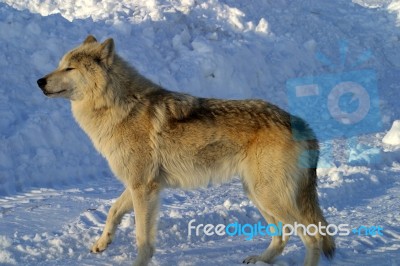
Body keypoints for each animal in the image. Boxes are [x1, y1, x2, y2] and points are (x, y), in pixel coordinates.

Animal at [37, 35, 336, 266]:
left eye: (70, 68)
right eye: (59, 65)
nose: (39, 81)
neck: (118, 107)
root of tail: (301, 123)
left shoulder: (144, 188)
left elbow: (142, 238)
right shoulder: (138, 185)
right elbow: (113, 211)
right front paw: (101, 244)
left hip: (267, 194)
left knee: (311, 235)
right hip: (256, 193)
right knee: (283, 233)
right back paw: (261, 259)